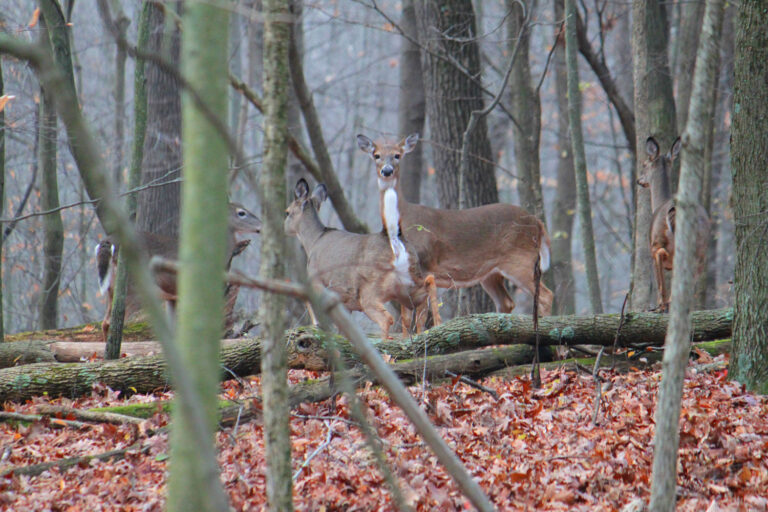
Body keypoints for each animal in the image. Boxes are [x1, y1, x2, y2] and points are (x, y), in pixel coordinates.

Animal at [96, 202, 262, 341]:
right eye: (241, 212)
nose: (260, 225)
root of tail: (108, 242)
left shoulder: (172, 296)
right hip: (134, 287)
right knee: (115, 322)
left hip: (111, 289)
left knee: (105, 322)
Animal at [284, 178, 441, 339]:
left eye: (287, 212)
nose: (284, 228)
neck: (314, 241)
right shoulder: (345, 301)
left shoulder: (315, 278)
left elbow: (308, 301)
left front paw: (316, 325)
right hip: (409, 281)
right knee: (425, 294)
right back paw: (434, 328)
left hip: (371, 289)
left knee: (386, 318)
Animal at [356, 133, 553, 316]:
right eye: (376, 155)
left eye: (397, 155)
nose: (387, 171)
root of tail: (537, 222)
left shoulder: (424, 265)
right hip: (491, 272)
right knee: (506, 302)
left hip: (520, 258)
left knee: (546, 296)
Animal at [637, 136, 710, 312]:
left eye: (644, 164)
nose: (638, 180)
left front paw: (660, 304)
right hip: (701, 249)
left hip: (660, 240)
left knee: (661, 255)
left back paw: (664, 305)